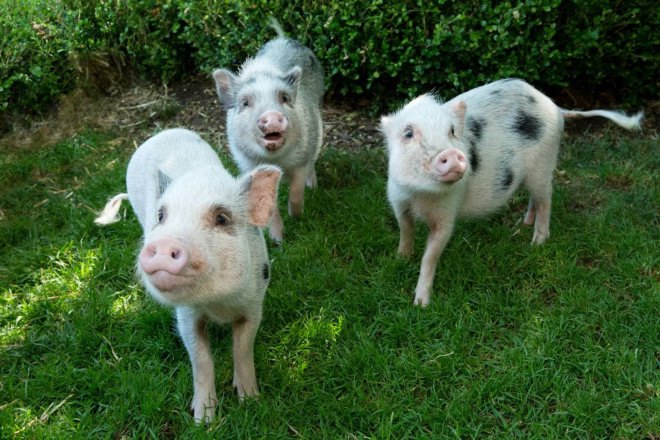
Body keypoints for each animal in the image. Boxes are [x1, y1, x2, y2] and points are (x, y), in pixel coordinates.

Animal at [94, 128, 282, 422]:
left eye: (222, 218)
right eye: (161, 215)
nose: (163, 244)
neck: (218, 304)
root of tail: (163, 133)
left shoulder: (254, 306)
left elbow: (242, 350)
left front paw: (251, 402)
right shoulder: (186, 316)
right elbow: (201, 361)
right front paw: (203, 421)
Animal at [212, 21, 324, 242]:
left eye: (284, 98)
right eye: (245, 103)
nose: (272, 115)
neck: (278, 161)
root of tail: (282, 38)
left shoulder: (301, 159)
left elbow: (296, 190)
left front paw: (296, 216)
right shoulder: (249, 165)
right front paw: (278, 241)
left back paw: (313, 186)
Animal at [380, 78, 643, 307]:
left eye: (452, 131)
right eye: (408, 133)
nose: (452, 154)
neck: (420, 196)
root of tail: (555, 107)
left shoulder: (447, 214)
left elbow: (431, 255)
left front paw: (421, 305)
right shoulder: (397, 200)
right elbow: (405, 230)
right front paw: (400, 259)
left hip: (543, 166)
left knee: (546, 200)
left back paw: (537, 242)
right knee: (534, 199)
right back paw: (522, 224)